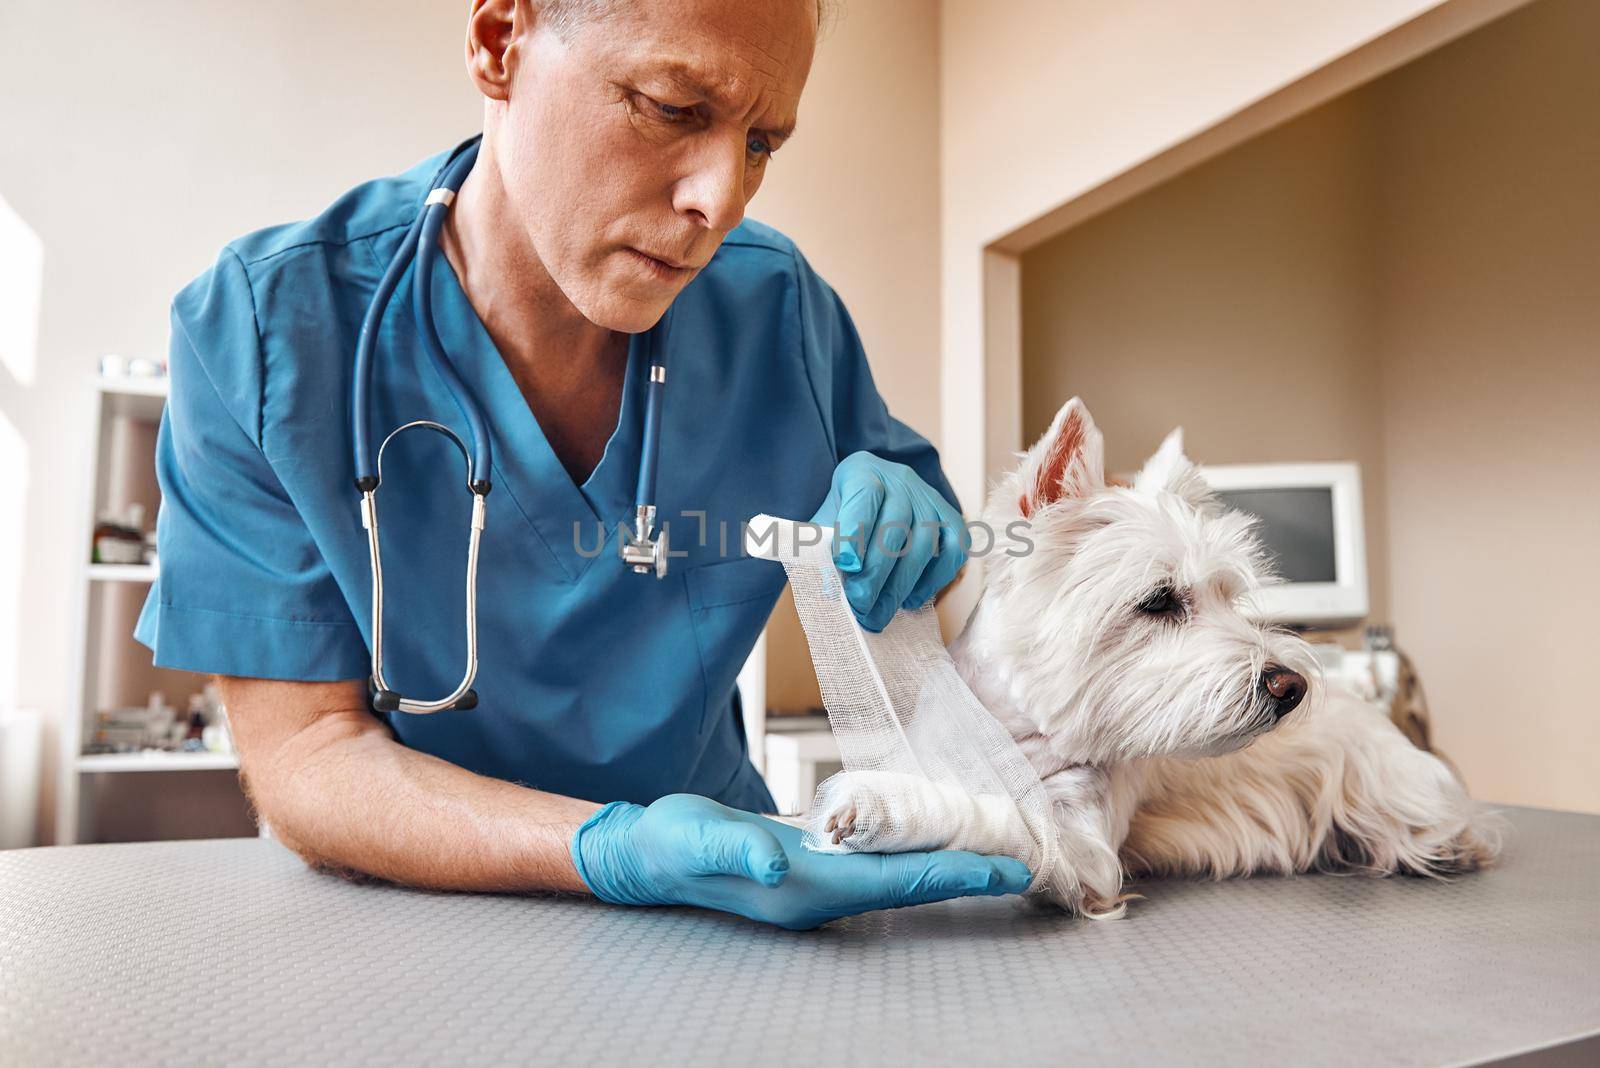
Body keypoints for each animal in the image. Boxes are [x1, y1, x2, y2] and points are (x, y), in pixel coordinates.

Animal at [825, 396, 1497, 914]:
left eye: (1230, 595)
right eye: (1159, 600)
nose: (1292, 687)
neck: (1020, 730)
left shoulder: (1083, 844)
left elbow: (1007, 816)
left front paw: (878, 805)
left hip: (1391, 780)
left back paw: (1442, 845)